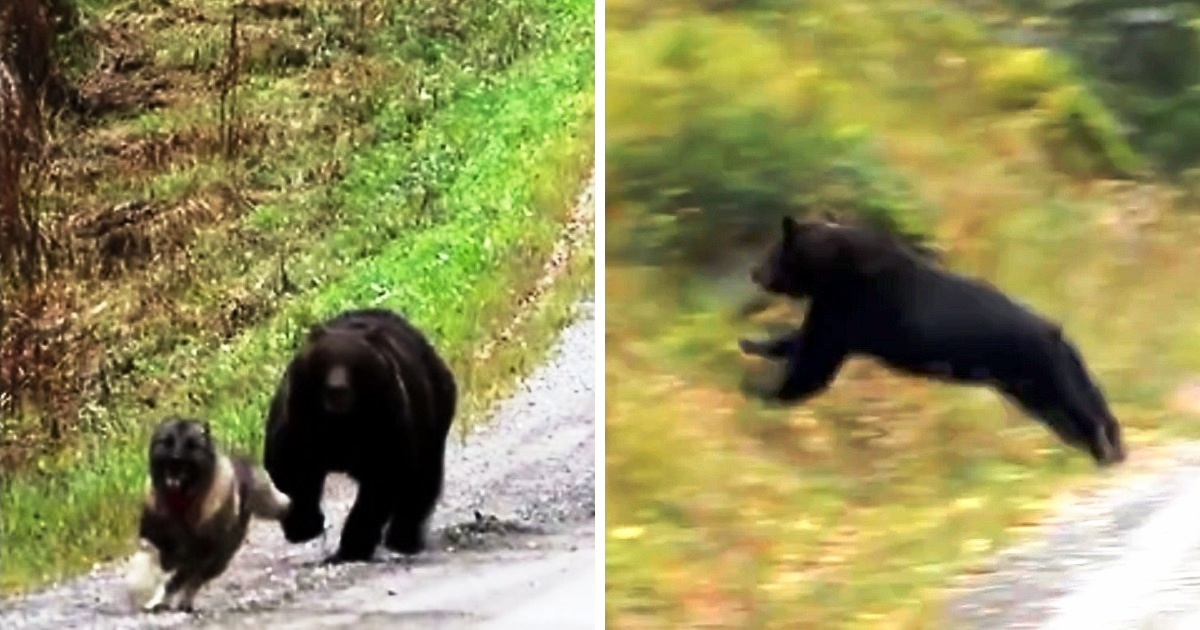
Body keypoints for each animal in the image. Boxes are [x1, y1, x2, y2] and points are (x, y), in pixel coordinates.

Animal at [263, 307, 457, 563]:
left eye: (355, 365)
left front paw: (351, 547)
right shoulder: (302, 421)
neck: (343, 421)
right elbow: (292, 467)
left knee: (421, 481)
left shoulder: (383, 422)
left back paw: (403, 539)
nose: (337, 390)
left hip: (431, 416)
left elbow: (381, 480)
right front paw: (303, 527)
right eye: (325, 362)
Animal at [738, 214, 1127, 467]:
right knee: (1079, 406)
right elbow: (803, 340)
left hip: (1042, 373)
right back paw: (1109, 446)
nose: (754, 272)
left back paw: (1103, 450)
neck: (832, 272)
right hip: (1035, 385)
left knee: (1076, 407)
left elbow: (814, 361)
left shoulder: (854, 307)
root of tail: (1057, 333)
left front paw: (764, 391)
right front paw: (751, 344)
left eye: (772, 251)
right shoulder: (834, 309)